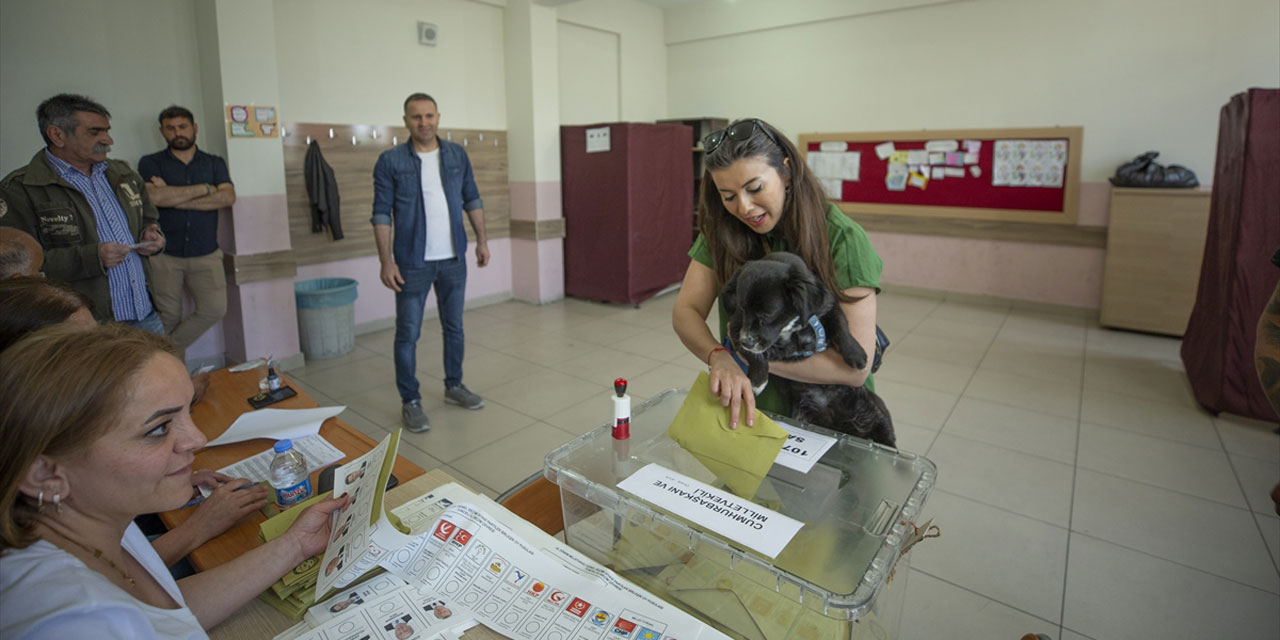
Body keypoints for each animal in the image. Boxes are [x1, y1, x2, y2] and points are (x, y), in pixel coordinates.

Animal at [727, 252, 896, 448]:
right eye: (741, 308)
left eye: (767, 315)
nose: (746, 341)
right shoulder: (736, 328)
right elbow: (756, 355)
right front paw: (758, 380)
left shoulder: (829, 306)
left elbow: (841, 326)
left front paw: (856, 354)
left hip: (879, 414)